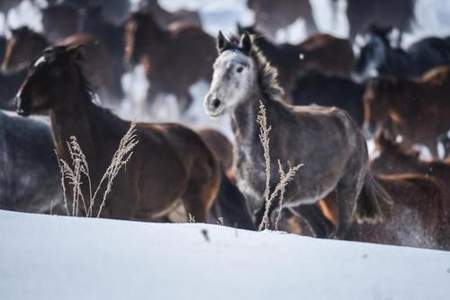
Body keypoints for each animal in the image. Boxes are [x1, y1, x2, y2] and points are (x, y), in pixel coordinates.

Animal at [14, 44, 253, 229]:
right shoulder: (84, 209)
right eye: (32, 67)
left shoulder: (121, 210)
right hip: (169, 214)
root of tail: (207, 151)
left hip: (194, 205)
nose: (20, 101)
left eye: (55, 69)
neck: (95, 147)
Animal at [204, 31, 390, 237]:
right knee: (323, 227)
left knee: (344, 230)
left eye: (239, 68)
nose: (213, 103)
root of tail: (356, 130)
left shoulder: (282, 190)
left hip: (347, 187)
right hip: (304, 203)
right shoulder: (253, 195)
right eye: (215, 67)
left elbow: (261, 217)